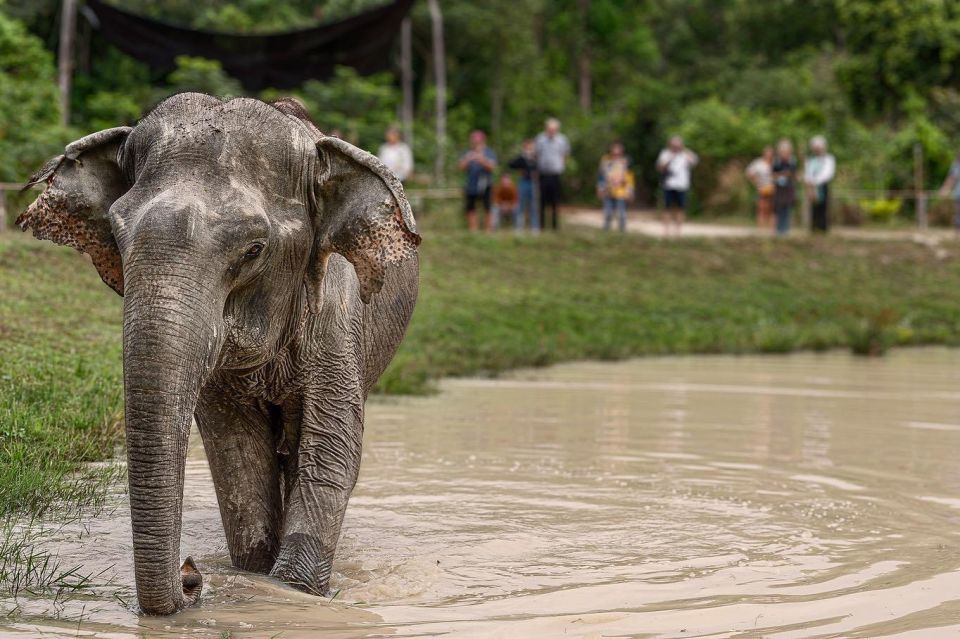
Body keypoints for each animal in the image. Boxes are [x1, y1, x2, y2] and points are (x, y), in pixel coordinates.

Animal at [15, 94, 420, 616]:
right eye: (117, 238)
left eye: (254, 250)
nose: (191, 574)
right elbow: (237, 457)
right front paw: (254, 576)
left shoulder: (337, 315)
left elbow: (331, 449)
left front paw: (291, 595)